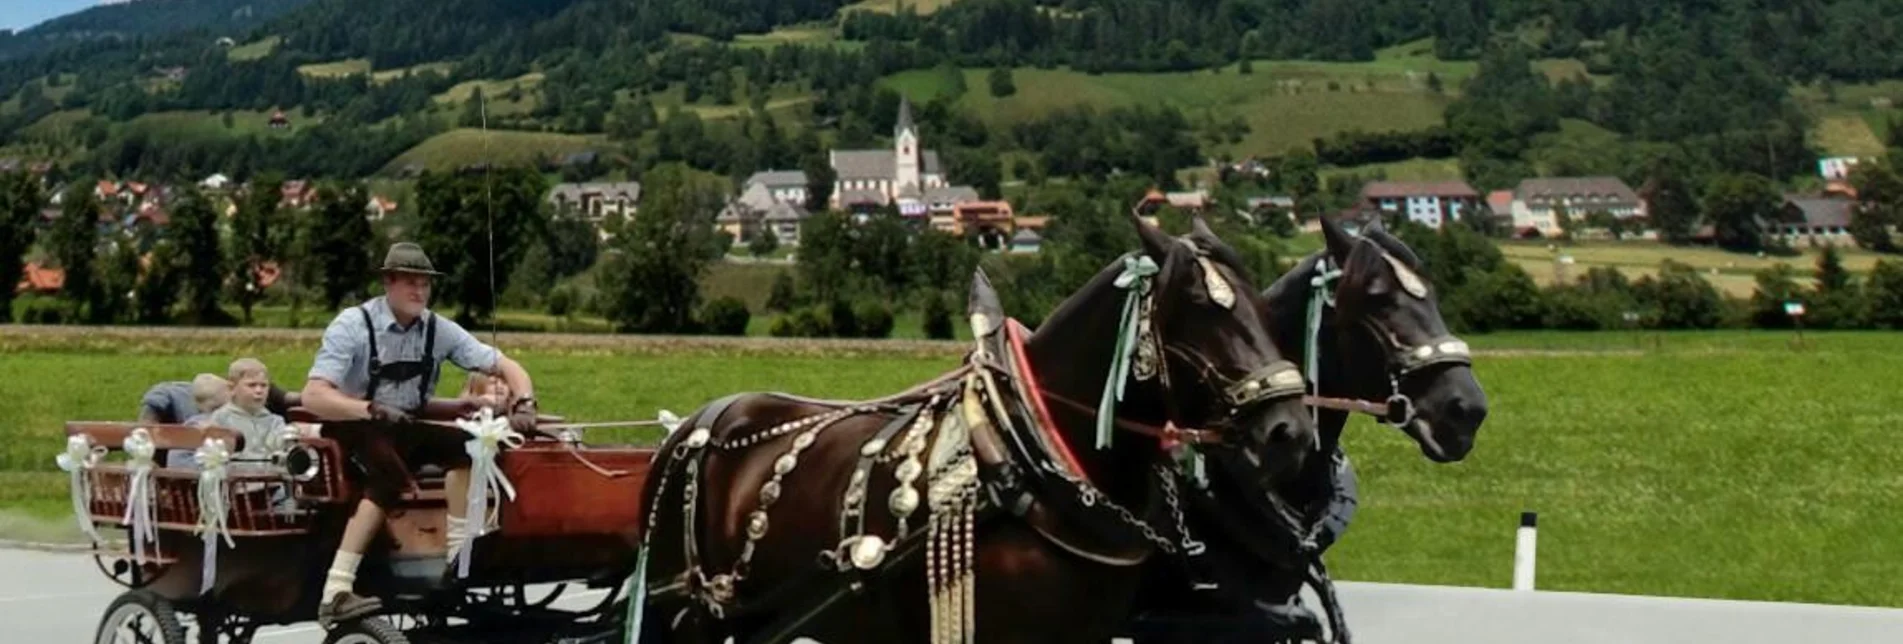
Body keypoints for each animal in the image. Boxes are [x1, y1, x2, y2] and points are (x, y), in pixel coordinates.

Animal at [631, 212, 1316, 644]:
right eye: (1198, 311)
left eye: (1264, 307)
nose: (1291, 433)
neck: (1035, 461)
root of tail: (695, 425)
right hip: (686, 615)